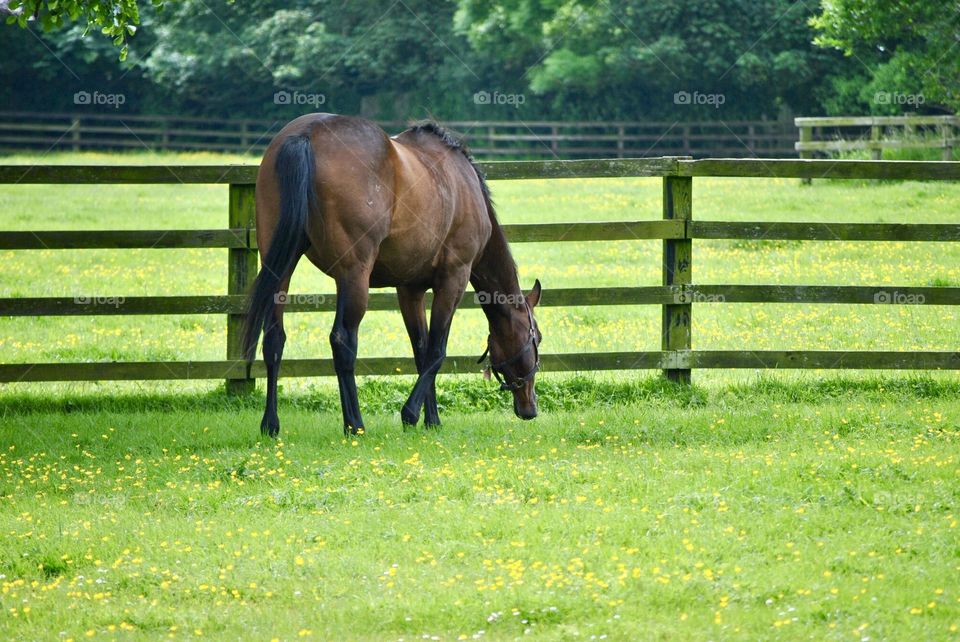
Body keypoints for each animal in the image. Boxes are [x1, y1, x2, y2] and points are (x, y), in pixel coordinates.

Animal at [242, 114, 540, 436]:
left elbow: (421, 351)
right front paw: (411, 414)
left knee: (274, 339)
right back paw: (354, 424)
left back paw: (270, 424)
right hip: (354, 275)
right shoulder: (454, 280)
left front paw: (430, 419)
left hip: (281, 266)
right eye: (536, 337)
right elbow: (437, 351)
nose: (530, 409)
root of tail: (307, 133)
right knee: (343, 341)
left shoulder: (410, 289)